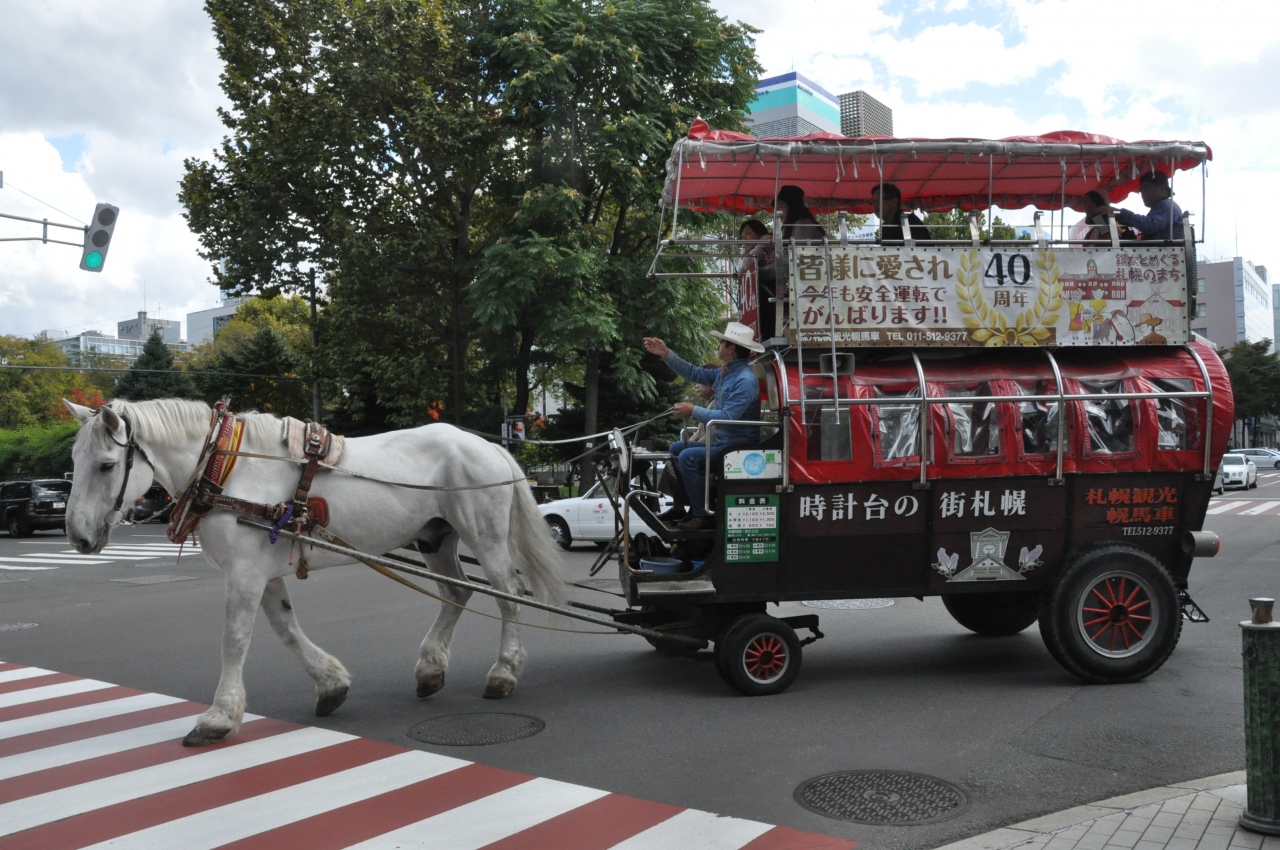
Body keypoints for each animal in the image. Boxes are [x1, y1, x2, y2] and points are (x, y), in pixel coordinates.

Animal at [63, 396, 565, 742]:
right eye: (73, 463)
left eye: (106, 465)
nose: (77, 537)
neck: (226, 470)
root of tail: (490, 446)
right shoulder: (262, 572)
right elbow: (286, 629)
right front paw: (331, 684)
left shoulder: (244, 574)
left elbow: (235, 639)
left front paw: (219, 716)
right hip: (434, 537)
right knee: (457, 593)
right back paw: (430, 670)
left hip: (484, 536)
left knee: (507, 595)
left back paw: (503, 673)